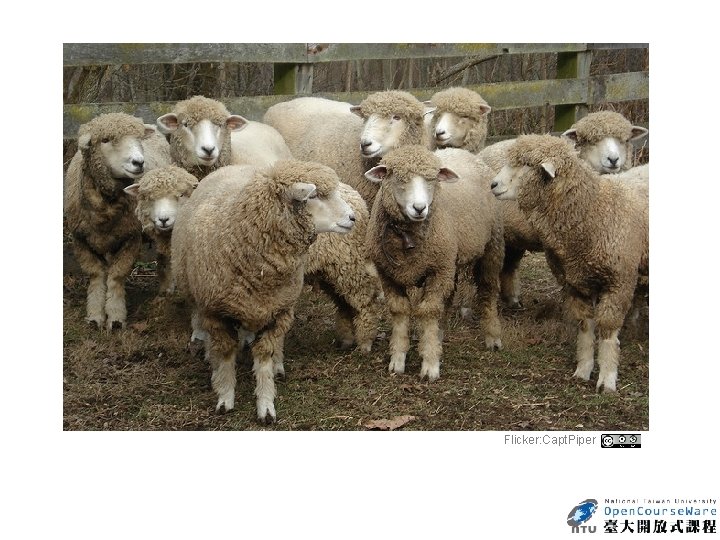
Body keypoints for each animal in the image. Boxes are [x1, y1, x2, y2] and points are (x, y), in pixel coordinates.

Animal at [64, 113, 156, 331]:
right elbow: (97, 275)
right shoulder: (79, 240)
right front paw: (95, 316)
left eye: (139, 138)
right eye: (105, 140)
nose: (139, 162)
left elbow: (116, 276)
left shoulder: (132, 238)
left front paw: (114, 317)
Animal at [171, 160, 356, 423]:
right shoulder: (215, 312)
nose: (353, 217)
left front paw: (266, 403)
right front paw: (225, 396)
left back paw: (276, 365)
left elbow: (265, 356)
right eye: (314, 196)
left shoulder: (277, 311)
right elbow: (225, 354)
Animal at [365, 145, 504, 381]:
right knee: (447, 298)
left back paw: (493, 336)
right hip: (450, 260)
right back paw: (439, 334)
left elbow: (429, 311)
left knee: (488, 290)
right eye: (399, 178)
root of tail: (462, 151)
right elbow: (400, 311)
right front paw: (398, 359)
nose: (419, 208)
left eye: (432, 179)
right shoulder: (388, 274)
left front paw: (430, 364)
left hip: (491, 246)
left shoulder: (437, 270)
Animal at [490, 134, 648, 392]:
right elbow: (584, 326)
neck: (592, 209)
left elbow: (607, 331)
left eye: (526, 164)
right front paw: (582, 370)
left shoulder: (619, 281)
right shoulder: (574, 282)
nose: (493, 185)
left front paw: (607, 378)